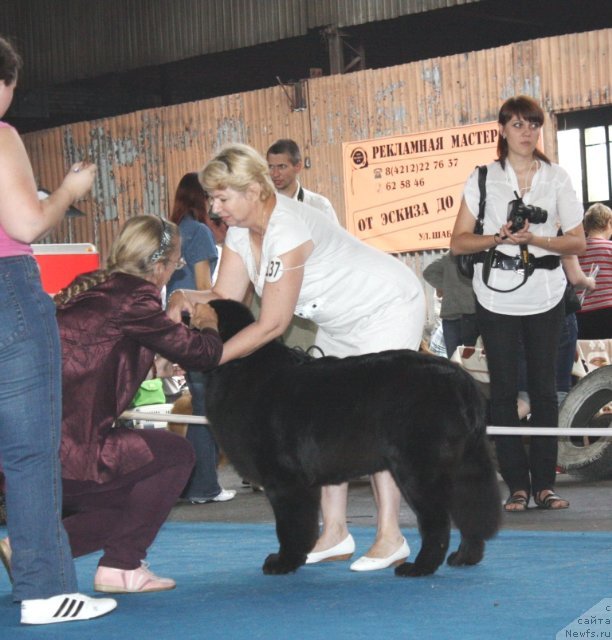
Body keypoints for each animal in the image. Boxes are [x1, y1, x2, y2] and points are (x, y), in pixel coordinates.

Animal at [206, 298, 502, 576]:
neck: (242, 367)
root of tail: (461, 380)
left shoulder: (284, 480)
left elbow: (290, 527)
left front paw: (284, 562)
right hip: (465, 464)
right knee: (472, 511)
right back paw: (465, 557)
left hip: (419, 470)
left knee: (438, 522)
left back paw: (419, 567)